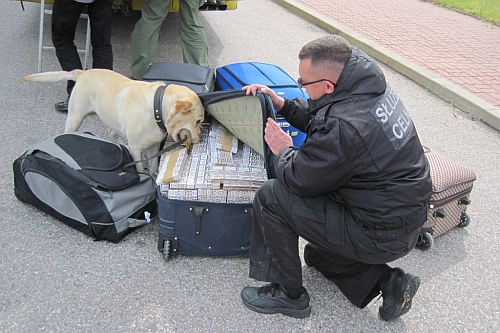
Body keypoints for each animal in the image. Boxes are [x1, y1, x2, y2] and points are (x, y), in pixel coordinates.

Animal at [23, 68, 203, 175]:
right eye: (198, 121)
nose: (200, 139)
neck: (155, 109)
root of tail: (82, 72)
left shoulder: (152, 145)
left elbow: (153, 168)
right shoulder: (137, 148)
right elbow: (139, 167)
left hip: (112, 119)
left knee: (112, 133)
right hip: (75, 116)